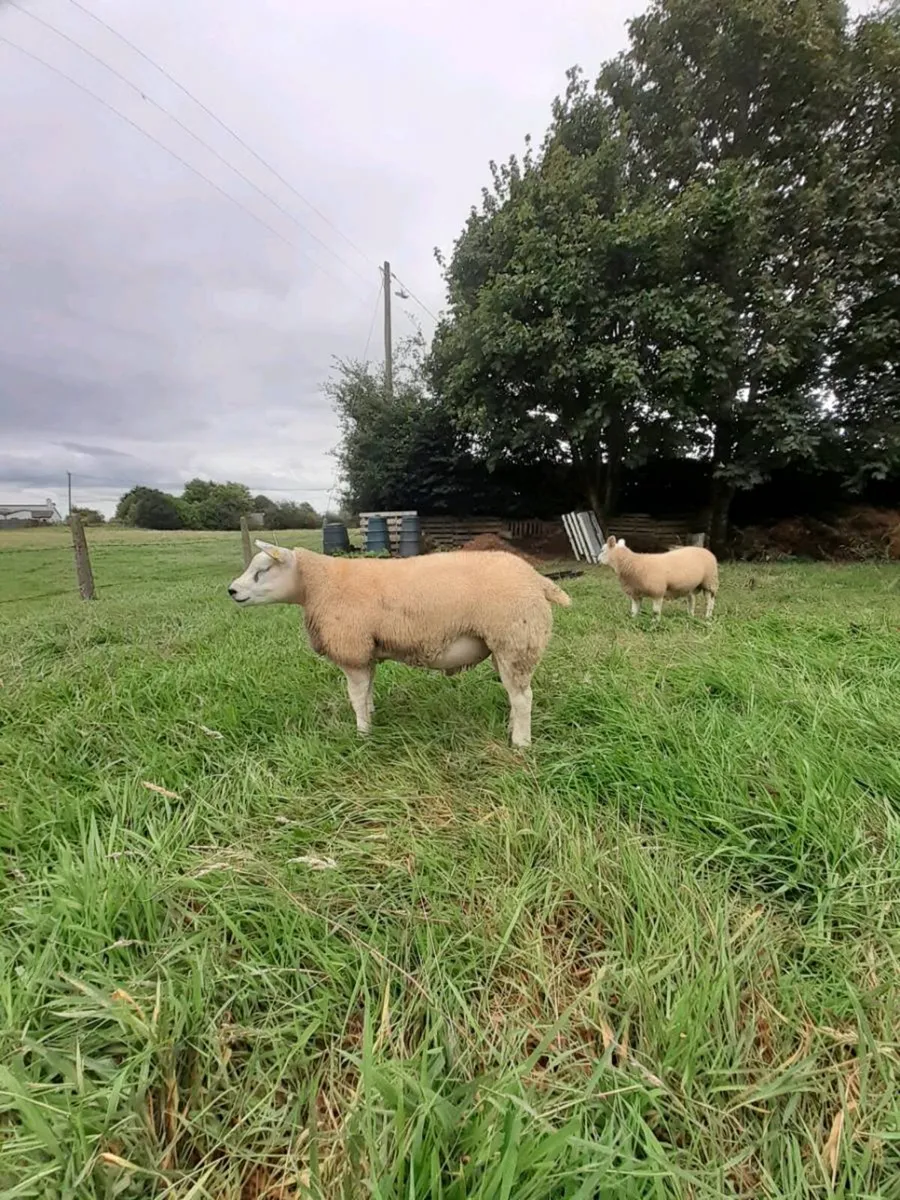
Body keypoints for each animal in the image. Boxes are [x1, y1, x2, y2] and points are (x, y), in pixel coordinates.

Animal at [227, 540, 571, 747]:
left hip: (517, 641)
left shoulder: (352, 649)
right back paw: (512, 730)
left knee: (523, 699)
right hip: (507, 646)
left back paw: (521, 744)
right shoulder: (367, 651)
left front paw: (362, 734)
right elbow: (367, 692)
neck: (318, 586)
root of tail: (539, 580)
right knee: (515, 695)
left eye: (263, 570)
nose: (231, 591)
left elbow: (355, 697)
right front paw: (371, 718)